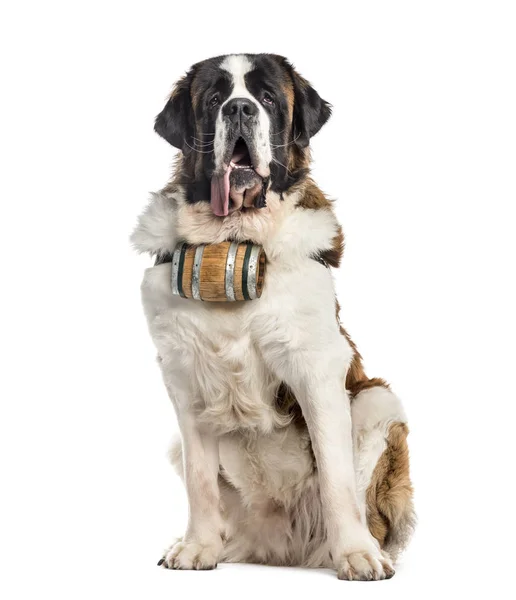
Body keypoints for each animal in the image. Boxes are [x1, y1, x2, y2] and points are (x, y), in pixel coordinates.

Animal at [132, 52, 416, 580]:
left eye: (265, 98)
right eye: (214, 99)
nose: (240, 108)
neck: (234, 239)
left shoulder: (317, 368)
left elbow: (335, 475)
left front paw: (356, 554)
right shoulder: (184, 375)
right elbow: (200, 480)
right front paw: (198, 547)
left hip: (377, 402)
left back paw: (358, 546)